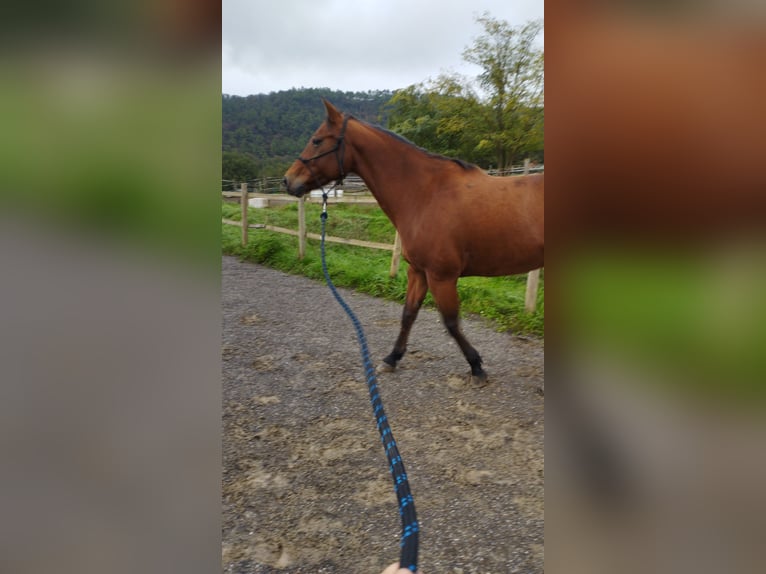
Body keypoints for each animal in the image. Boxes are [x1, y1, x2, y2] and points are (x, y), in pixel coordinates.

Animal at [284, 100, 544, 388]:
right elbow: (408, 314)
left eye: (317, 141)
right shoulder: (418, 271)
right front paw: (392, 358)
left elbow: (451, 322)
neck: (425, 194)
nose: (288, 180)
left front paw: (476, 366)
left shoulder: (441, 276)